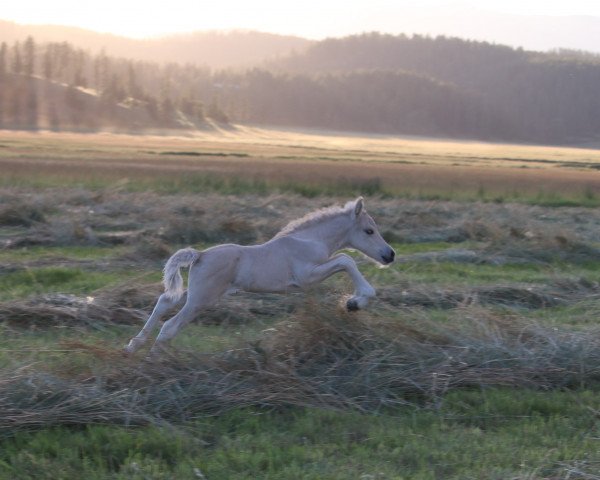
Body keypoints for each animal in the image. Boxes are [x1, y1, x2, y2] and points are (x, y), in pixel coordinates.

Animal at [123, 196, 394, 356]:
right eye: (369, 231)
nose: (389, 255)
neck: (309, 240)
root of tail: (199, 254)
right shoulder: (306, 277)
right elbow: (346, 260)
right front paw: (355, 302)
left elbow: (345, 261)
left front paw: (353, 302)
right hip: (202, 299)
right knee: (170, 326)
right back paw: (155, 361)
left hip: (198, 293)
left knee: (164, 302)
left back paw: (133, 345)